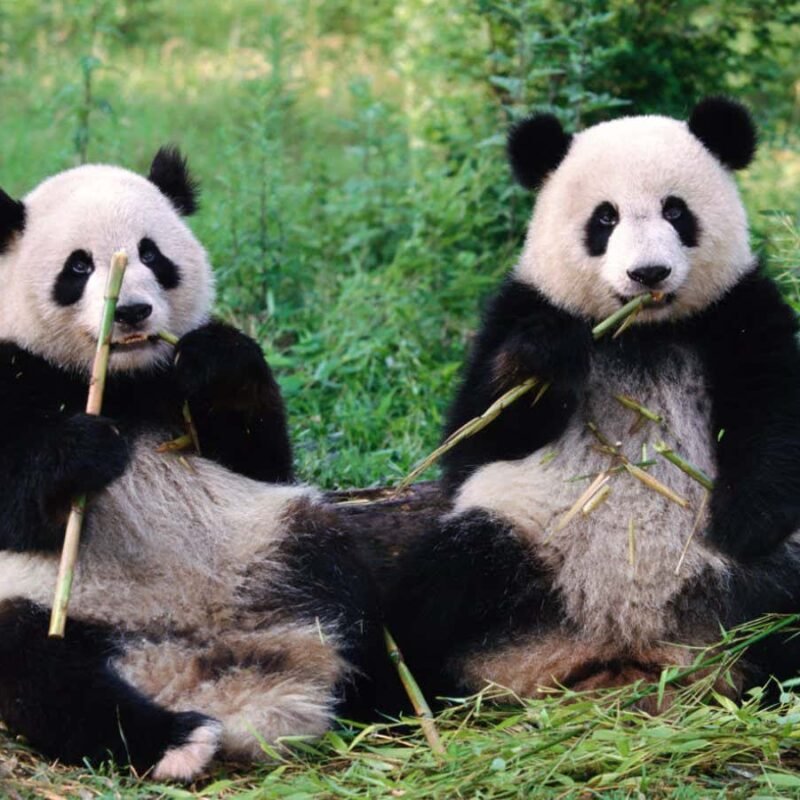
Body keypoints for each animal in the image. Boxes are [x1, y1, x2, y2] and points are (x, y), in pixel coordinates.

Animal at [0, 149, 386, 780]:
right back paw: (175, 741)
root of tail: (190, 658)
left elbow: (262, 457)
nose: (133, 312)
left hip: (276, 538)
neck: (123, 381)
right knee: (40, 673)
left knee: (355, 596)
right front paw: (85, 452)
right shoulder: (12, 371)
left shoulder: (179, 395)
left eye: (151, 252)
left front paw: (218, 359)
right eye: (78, 266)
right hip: (52, 602)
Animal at [386, 97, 800, 707]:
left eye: (676, 211)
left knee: (780, 605)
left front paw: (743, 520)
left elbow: (775, 416)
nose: (648, 273)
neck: (641, 332)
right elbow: (479, 433)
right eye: (604, 219)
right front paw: (544, 359)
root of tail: (620, 653)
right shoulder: (521, 307)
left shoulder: (739, 311)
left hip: (747, 584)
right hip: (516, 537)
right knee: (434, 590)